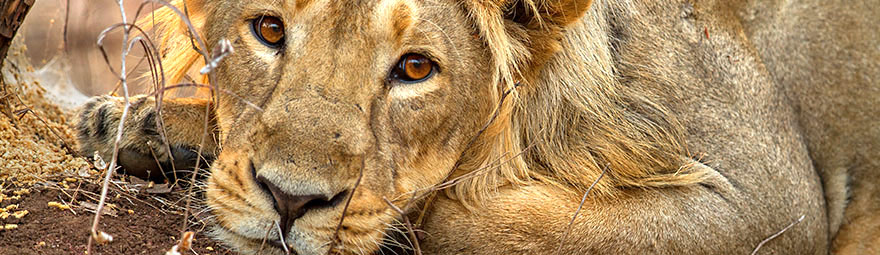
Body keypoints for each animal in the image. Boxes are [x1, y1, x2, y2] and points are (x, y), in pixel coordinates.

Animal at [72, 0, 876, 254]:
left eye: (415, 69)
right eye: (269, 29)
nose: (293, 201)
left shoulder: (773, 198)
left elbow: (490, 219)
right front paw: (134, 123)